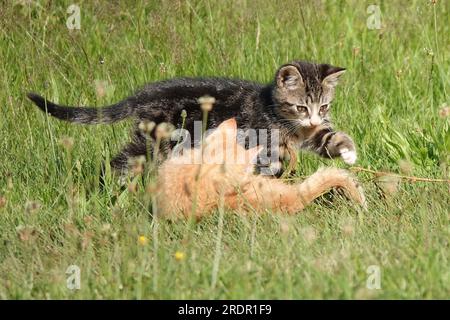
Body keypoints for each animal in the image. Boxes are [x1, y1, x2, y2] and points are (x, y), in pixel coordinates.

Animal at [28, 60, 356, 178]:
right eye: (301, 107)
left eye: (323, 107)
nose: (313, 119)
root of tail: (142, 95)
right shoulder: (265, 143)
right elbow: (269, 169)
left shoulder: (312, 133)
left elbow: (329, 139)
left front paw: (348, 151)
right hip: (155, 142)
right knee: (123, 161)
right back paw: (110, 188)